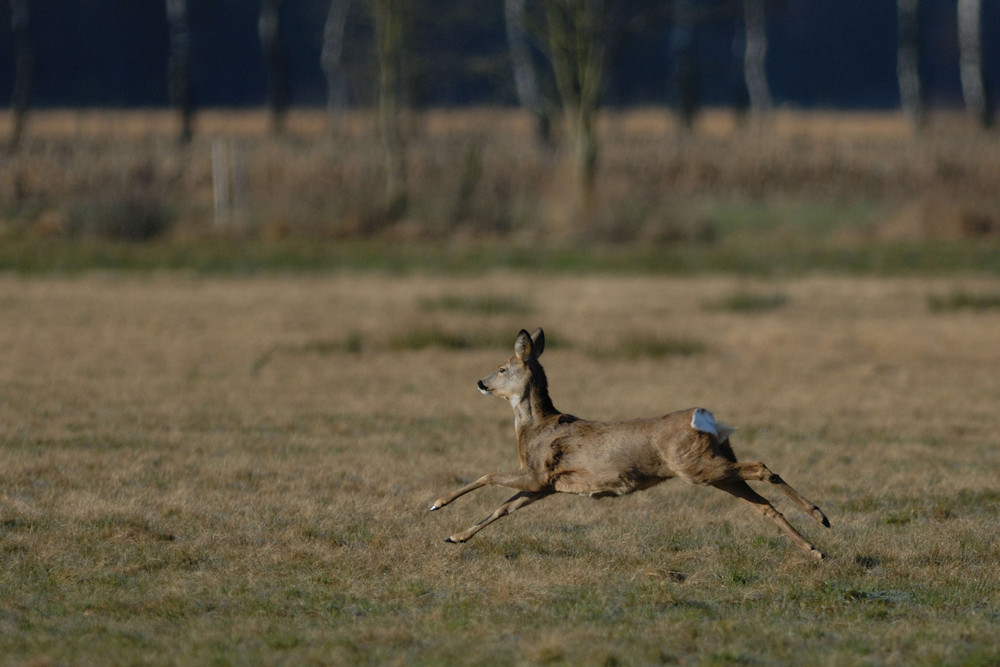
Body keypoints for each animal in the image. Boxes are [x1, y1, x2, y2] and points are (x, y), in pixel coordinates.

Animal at [430, 328, 828, 560]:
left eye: (502, 367)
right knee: (762, 504)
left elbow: (487, 476)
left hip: (696, 467)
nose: (480, 382)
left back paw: (820, 516)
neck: (535, 428)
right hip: (714, 466)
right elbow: (502, 509)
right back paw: (815, 548)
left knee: (762, 467)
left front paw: (437, 504)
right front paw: (455, 537)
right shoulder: (546, 485)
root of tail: (705, 417)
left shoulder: (537, 473)